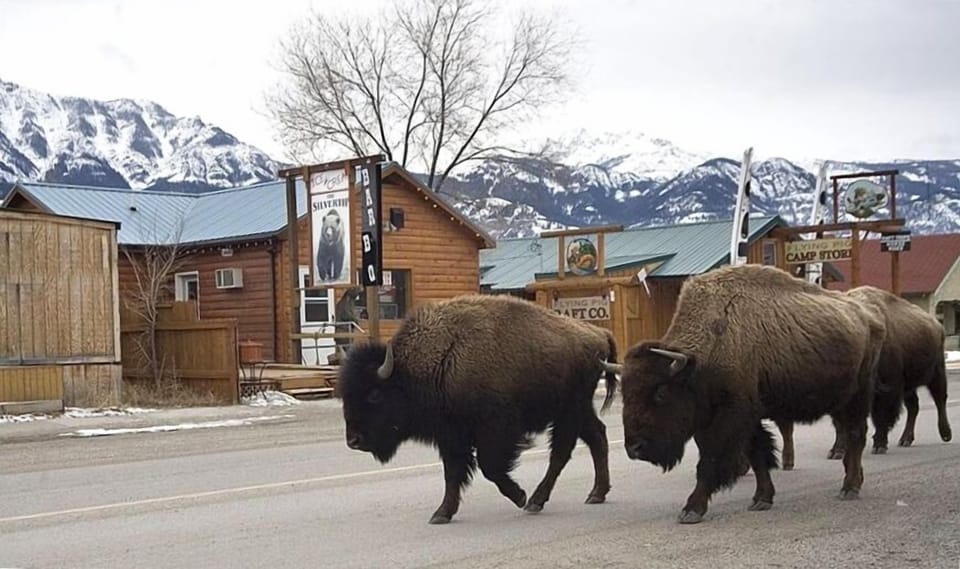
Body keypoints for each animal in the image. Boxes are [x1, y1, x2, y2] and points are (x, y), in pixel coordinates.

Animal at [338, 294, 621, 524]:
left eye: (374, 395)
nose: (353, 440)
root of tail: (598, 334)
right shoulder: (450, 437)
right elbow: (453, 474)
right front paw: (441, 514)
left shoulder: (495, 430)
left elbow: (489, 467)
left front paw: (519, 496)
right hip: (578, 410)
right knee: (596, 437)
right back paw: (596, 494)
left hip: (569, 410)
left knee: (562, 452)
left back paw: (535, 501)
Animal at [616, 264, 885, 524]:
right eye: (625, 394)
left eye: (660, 393)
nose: (634, 448)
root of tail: (869, 316)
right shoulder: (744, 418)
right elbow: (757, 455)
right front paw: (762, 499)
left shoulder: (729, 418)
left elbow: (710, 462)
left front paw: (691, 510)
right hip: (840, 402)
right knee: (850, 436)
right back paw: (854, 479)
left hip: (858, 396)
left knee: (856, 435)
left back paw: (849, 488)